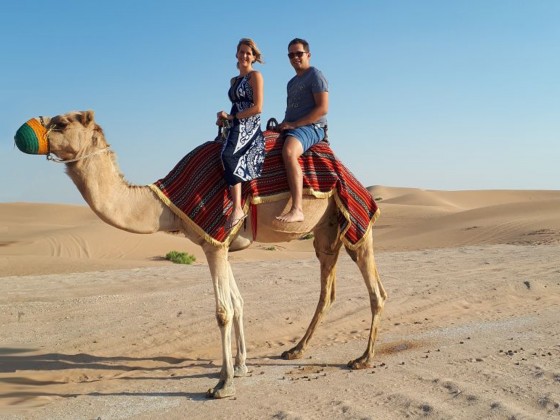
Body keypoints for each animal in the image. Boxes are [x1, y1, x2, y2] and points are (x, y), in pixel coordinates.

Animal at [14, 110, 390, 398]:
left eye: (62, 122)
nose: (23, 133)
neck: (167, 203)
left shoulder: (214, 241)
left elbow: (224, 310)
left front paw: (223, 384)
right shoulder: (222, 245)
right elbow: (238, 303)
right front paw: (240, 367)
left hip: (355, 219)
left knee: (376, 291)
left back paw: (363, 358)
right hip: (326, 231)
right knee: (327, 290)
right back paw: (296, 349)